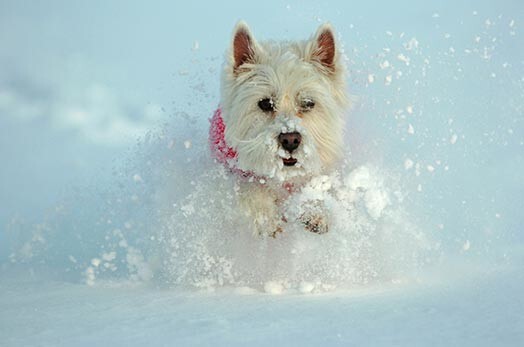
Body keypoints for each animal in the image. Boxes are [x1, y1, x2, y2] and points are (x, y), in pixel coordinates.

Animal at [209, 21, 348, 237]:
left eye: (308, 103)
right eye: (265, 103)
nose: (290, 139)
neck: (283, 177)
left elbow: (313, 182)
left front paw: (313, 212)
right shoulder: (238, 171)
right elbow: (252, 189)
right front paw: (267, 220)